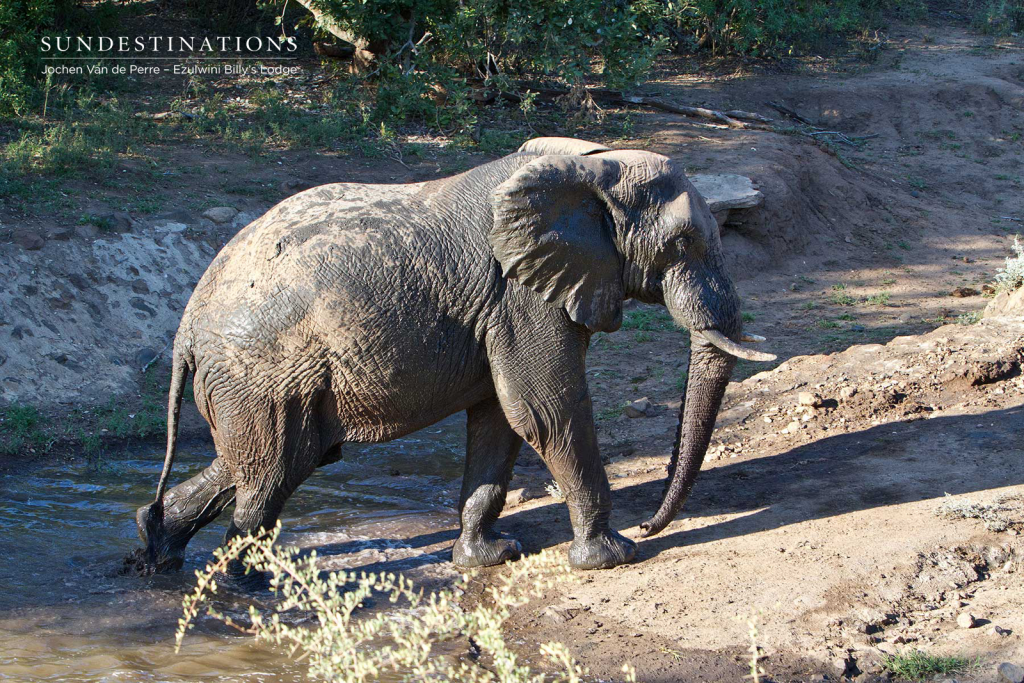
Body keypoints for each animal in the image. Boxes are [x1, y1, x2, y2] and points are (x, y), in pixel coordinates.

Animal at [138, 136, 774, 573]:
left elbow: (502, 418)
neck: (592, 166)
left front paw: (488, 557)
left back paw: (154, 549)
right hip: (262, 370)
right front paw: (613, 557)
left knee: (265, 461)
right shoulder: (519, 294)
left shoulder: (507, 302)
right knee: (271, 473)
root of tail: (186, 324)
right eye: (682, 243)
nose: (649, 526)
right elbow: (544, 409)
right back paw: (249, 586)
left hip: (257, 382)